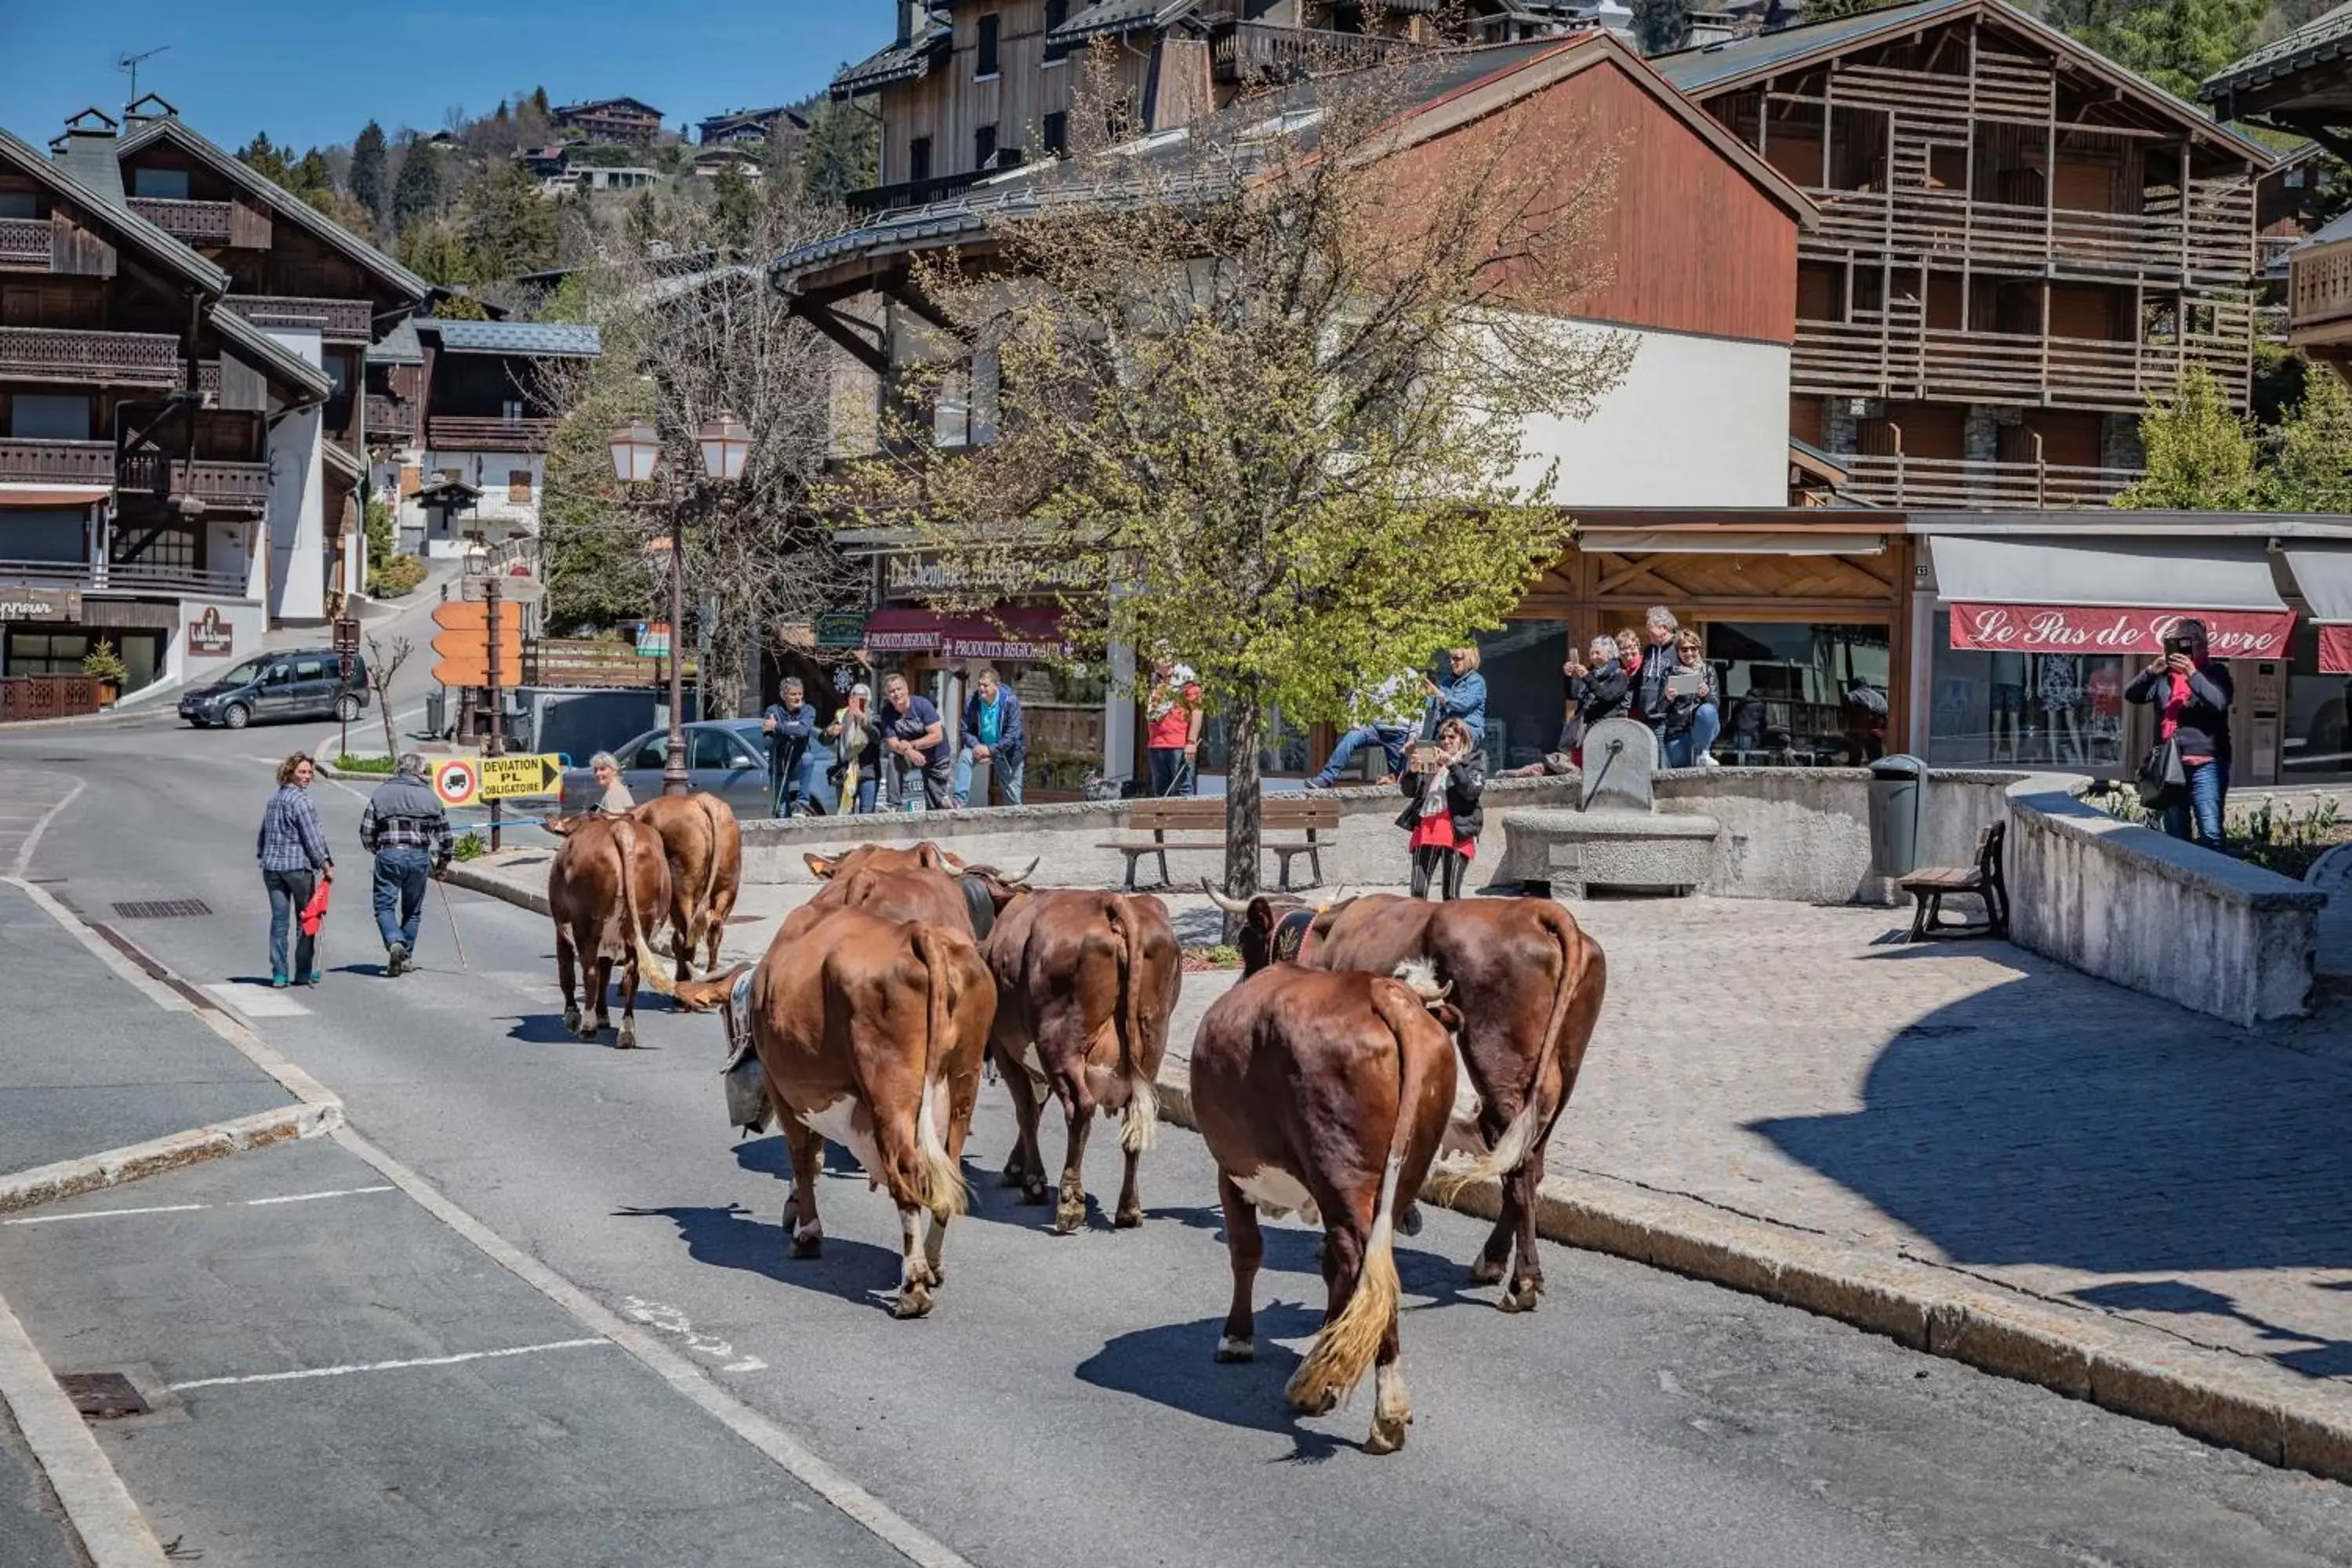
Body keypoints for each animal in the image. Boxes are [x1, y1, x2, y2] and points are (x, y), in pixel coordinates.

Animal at [541, 818, 673, 1048]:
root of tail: (620, 826)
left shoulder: (561, 928)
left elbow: (567, 973)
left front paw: (572, 1015)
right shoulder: (609, 942)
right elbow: (606, 974)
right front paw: (602, 1015)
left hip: (586, 926)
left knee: (590, 974)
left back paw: (587, 1027)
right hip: (641, 926)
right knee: (631, 975)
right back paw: (626, 1031)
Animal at [630, 789, 739, 987]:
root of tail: (703, 800)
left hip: (682, 890)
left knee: (684, 935)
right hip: (727, 887)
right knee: (714, 928)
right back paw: (711, 976)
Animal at [983, 888, 1185, 1232]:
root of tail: (1111, 901)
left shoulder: (1004, 1048)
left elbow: (1027, 1111)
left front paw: (1032, 1180)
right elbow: (1036, 1106)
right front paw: (1019, 1168)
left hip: (1059, 1044)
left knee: (1080, 1108)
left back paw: (1070, 1203)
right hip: (1151, 1046)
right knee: (1134, 1119)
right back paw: (1128, 1208)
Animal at [1204, 884, 1609, 1316]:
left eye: (1246, 942)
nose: (1242, 986)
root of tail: (1536, 910)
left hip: (1498, 1065)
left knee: (1519, 1170)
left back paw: (1522, 1282)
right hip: (1560, 1073)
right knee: (1529, 1162)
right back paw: (1492, 1260)